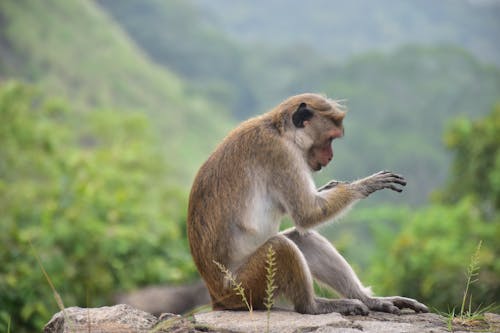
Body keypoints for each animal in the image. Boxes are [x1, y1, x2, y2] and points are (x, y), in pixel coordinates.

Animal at [186, 92, 428, 314]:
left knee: (302, 238)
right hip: (243, 289)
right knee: (282, 247)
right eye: (330, 139)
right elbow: (307, 213)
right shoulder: (281, 154)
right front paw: (364, 185)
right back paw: (313, 306)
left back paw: (368, 300)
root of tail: (216, 297)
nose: (330, 157)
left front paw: (331, 187)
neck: (279, 132)